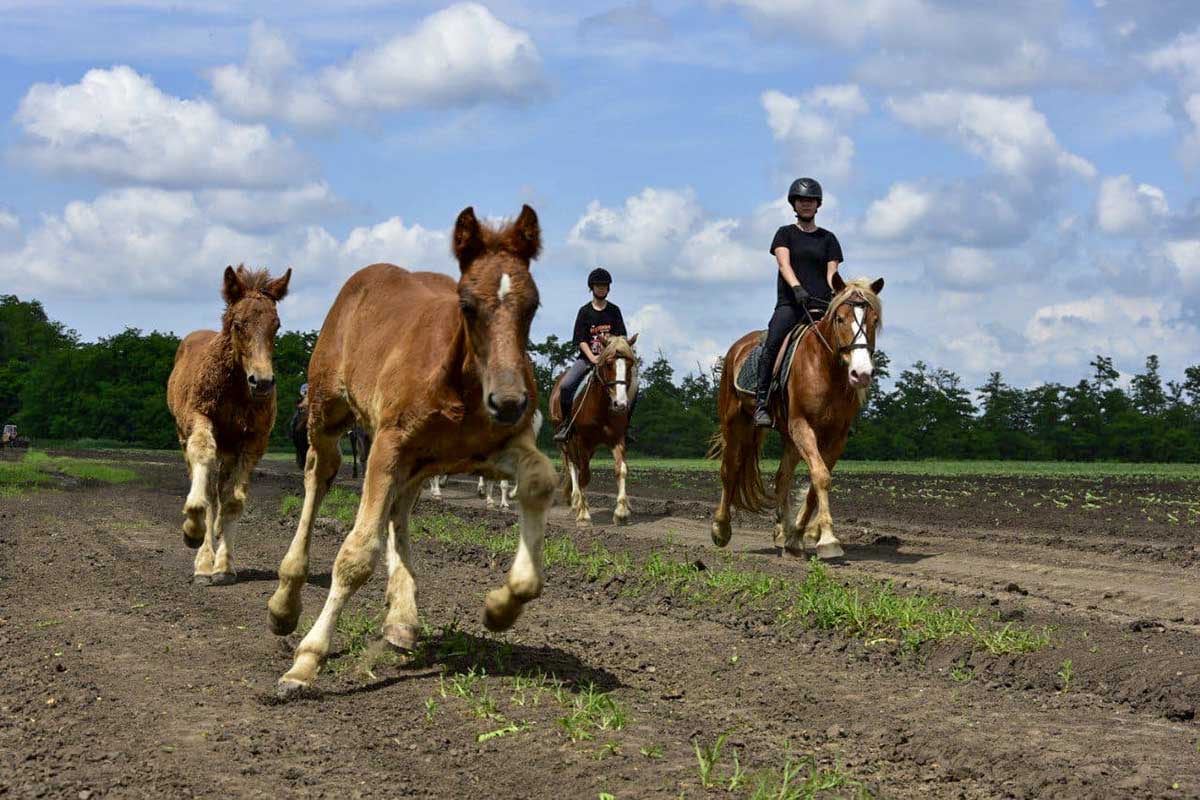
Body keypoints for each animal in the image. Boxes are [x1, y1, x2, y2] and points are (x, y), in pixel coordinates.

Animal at [165, 266, 291, 585]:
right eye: (237, 324)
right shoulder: (199, 418)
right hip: (186, 436)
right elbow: (204, 466)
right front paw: (193, 531)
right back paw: (202, 555)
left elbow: (232, 500)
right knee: (208, 486)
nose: (262, 382)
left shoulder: (254, 439)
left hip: (231, 448)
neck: (235, 388)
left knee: (222, 491)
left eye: (276, 325)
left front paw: (224, 566)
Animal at [265, 208, 554, 700]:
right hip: (329, 415)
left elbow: (539, 480)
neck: (461, 382)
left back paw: (402, 618)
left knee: (399, 509)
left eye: (532, 306)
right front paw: (306, 662)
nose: (511, 402)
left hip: (420, 460)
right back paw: (285, 604)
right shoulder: (386, 444)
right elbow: (355, 554)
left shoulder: (490, 448)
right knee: (319, 476)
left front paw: (503, 604)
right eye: (467, 305)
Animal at [549, 335, 638, 527]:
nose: (620, 404)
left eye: (629, 364)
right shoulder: (581, 440)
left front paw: (621, 513)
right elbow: (584, 474)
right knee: (573, 466)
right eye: (608, 364)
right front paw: (583, 515)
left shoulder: (617, 438)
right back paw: (577, 502)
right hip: (566, 442)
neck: (601, 407)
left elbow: (621, 469)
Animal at [710, 278, 883, 561]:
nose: (862, 373)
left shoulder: (836, 437)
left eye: (874, 320)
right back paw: (721, 529)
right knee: (730, 470)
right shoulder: (802, 426)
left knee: (782, 478)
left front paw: (797, 538)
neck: (825, 370)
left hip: (787, 437)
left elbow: (815, 482)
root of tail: (739, 347)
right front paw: (828, 540)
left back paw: (783, 531)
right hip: (735, 423)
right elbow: (820, 476)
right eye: (840, 318)